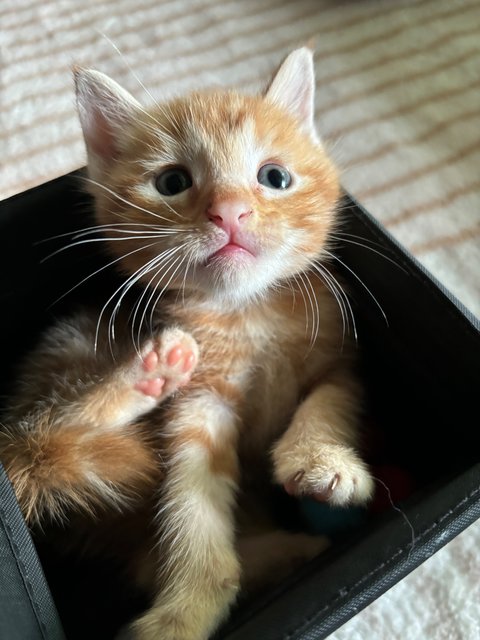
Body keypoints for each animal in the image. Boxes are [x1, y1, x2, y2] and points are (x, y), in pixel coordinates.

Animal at [0, 46, 376, 640]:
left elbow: (328, 401)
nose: (229, 211)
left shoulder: (340, 359)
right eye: (173, 181)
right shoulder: (199, 405)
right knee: (49, 434)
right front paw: (185, 610)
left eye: (274, 176)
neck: (247, 316)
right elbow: (189, 507)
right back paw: (147, 373)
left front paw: (321, 460)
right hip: (71, 357)